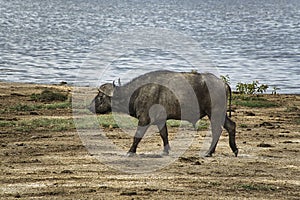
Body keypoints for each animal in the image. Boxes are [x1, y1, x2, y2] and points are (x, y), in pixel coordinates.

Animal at [88, 70, 238, 158]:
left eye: (100, 96)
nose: (89, 106)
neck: (136, 93)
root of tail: (223, 83)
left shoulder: (144, 119)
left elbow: (137, 136)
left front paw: (130, 151)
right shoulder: (161, 120)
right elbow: (164, 134)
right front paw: (166, 151)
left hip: (214, 112)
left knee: (217, 130)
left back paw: (209, 152)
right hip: (220, 113)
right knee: (231, 126)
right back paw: (233, 150)